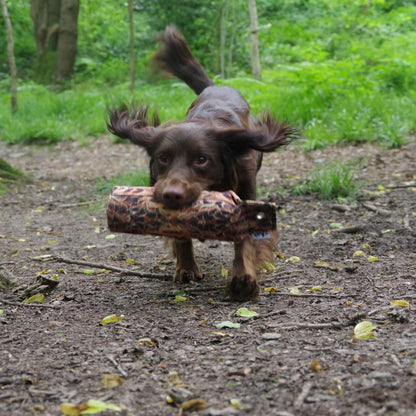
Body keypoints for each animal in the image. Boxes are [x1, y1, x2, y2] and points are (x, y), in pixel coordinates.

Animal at [107, 26, 296, 300]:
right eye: (163, 158)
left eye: (201, 160)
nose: (171, 194)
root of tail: (216, 87)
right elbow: (180, 233)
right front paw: (186, 267)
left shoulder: (247, 193)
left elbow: (246, 239)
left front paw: (244, 279)